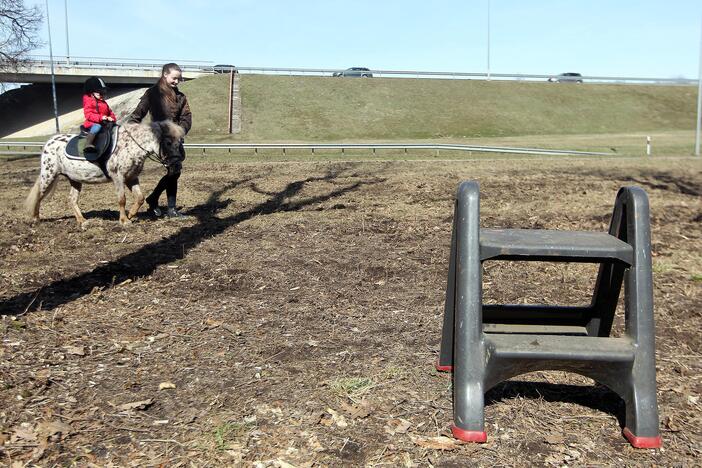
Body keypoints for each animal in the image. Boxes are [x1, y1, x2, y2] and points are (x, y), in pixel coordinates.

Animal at [24, 119, 186, 224]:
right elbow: (122, 199)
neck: (130, 146)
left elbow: (140, 198)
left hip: (74, 179)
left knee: (72, 199)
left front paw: (131, 215)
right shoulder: (118, 177)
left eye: (180, 142)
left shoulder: (131, 177)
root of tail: (49, 142)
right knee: (39, 195)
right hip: (49, 175)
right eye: (168, 143)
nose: (177, 166)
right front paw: (124, 220)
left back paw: (82, 221)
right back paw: (35, 219)